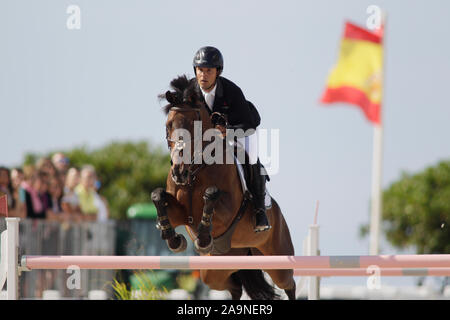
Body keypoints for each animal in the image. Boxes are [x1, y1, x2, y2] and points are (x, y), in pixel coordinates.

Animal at [153, 75, 298, 300]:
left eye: (194, 126)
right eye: (168, 125)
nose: (178, 172)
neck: (194, 172)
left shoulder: (227, 213)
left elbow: (211, 194)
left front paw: (203, 237)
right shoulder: (181, 213)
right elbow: (158, 195)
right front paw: (174, 239)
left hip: (277, 257)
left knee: (289, 284)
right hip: (217, 269)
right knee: (234, 286)